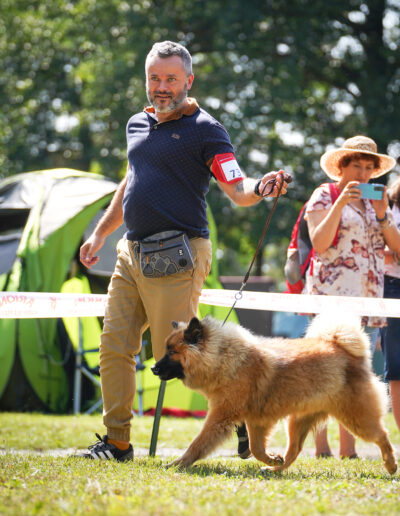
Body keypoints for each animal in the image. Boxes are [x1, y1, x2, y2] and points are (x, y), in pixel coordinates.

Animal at [152, 314, 397, 474]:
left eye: (172, 352)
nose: (153, 368)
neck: (223, 357)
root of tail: (347, 352)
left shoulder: (221, 417)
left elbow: (198, 444)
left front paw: (177, 464)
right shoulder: (256, 421)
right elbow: (255, 448)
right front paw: (272, 459)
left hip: (356, 418)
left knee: (383, 435)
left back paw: (391, 464)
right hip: (298, 421)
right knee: (294, 451)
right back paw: (275, 469)